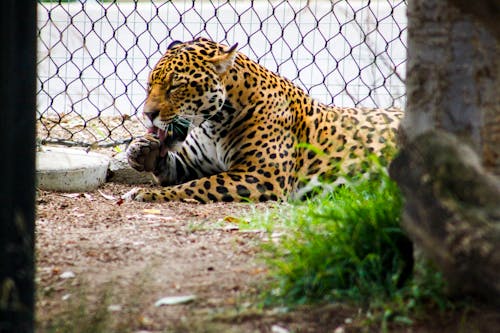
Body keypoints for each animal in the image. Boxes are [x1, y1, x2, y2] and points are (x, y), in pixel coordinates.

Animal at [125, 36, 402, 202]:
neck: (214, 124)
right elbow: (174, 167)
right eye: (149, 85)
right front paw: (142, 150)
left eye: (176, 87)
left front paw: (146, 195)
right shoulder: (193, 163)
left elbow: (198, 186)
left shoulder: (261, 176)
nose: (147, 115)